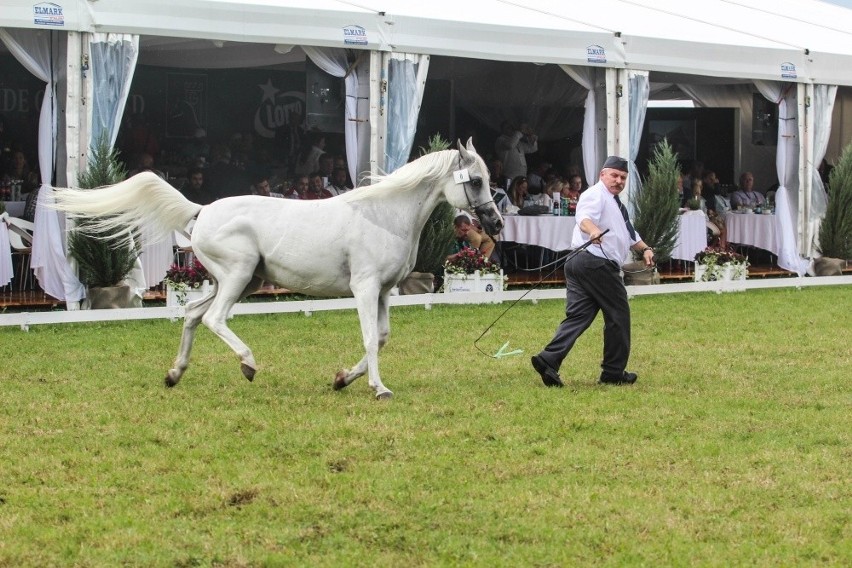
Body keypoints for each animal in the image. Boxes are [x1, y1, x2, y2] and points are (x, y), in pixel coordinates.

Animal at [53, 139, 502, 398]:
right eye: (475, 180)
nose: (496, 224)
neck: (383, 215)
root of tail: (202, 210)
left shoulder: (384, 291)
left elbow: (382, 337)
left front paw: (342, 379)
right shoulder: (365, 288)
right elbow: (371, 339)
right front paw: (379, 388)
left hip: (243, 282)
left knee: (193, 314)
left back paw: (174, 374)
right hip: (236, 277)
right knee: (214, 319)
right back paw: (248, 364)